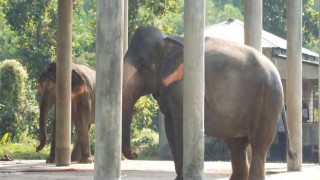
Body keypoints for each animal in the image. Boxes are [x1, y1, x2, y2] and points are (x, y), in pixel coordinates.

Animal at [121, 26, 296, 180]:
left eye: (143, 65)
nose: (136, 154)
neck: (168, 41)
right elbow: (170, 130)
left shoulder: (183, 88)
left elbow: (180, 129)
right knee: (236, 145)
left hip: (268, 101)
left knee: (258, 145)